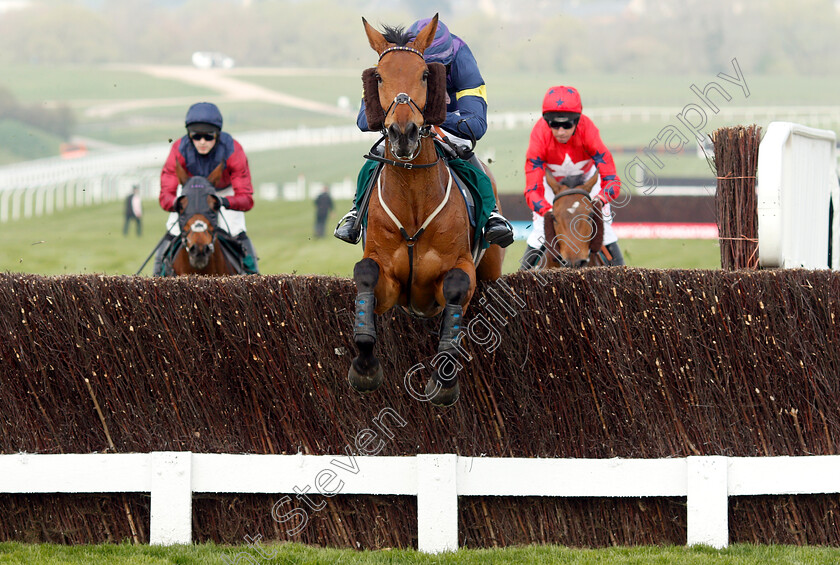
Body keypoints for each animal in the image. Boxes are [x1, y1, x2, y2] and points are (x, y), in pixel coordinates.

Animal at [348, 15, 506, 408]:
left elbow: (456, 287)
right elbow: (366, 275)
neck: (414, 206)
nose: (403, 132)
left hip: (492, 264)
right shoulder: (389, 280)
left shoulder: (458, 268)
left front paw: (444, 379)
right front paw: (364, 367)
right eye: (379, 77)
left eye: (424, 75)